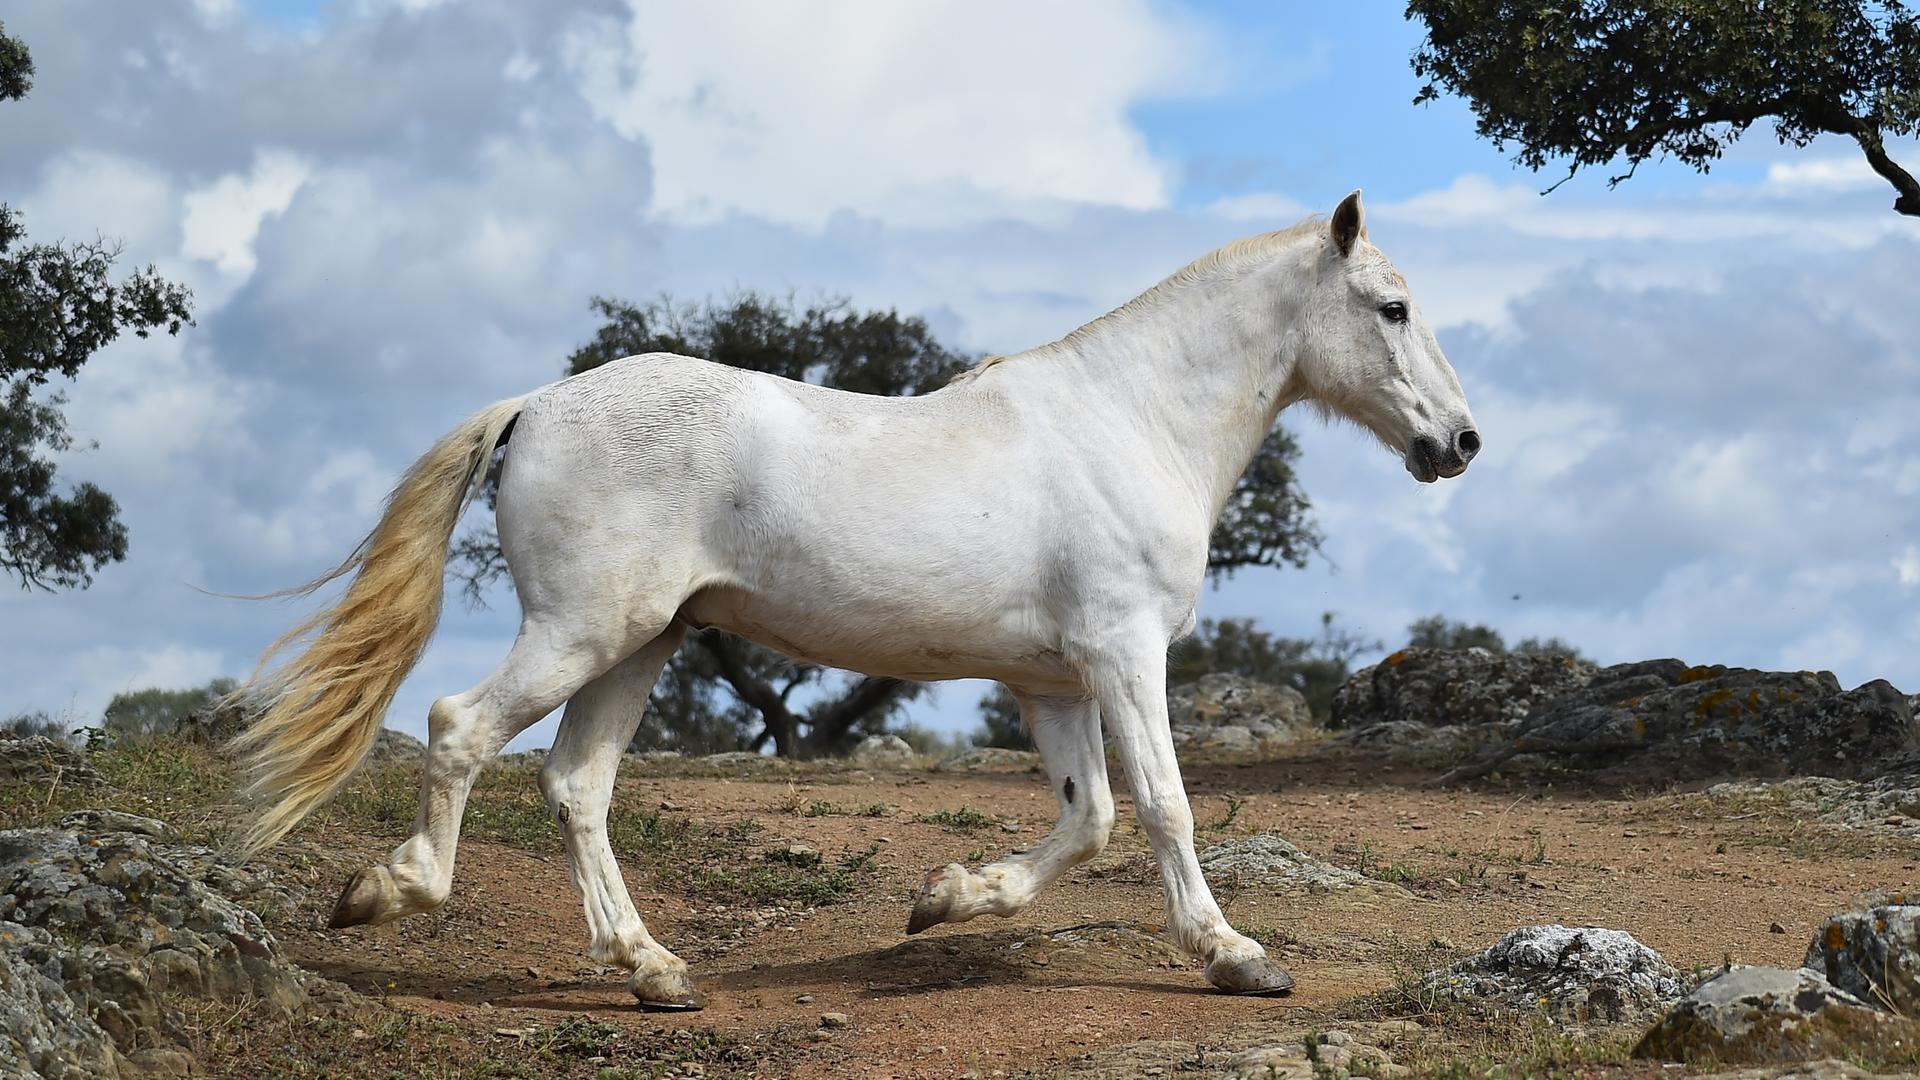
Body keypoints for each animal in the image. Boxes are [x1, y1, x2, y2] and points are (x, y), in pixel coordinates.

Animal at [232, 189, 1474, 1006]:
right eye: (1391, 307)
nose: (1457, 443)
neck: (1131, 419)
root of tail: (536, 404)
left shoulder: (1055, 682)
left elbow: (1089, 820)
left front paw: (946, 898)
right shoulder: (1126, 655)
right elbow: (1165, 808)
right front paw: (1237, 957)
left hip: (640, 648)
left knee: (576, 786)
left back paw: (652, 969)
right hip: (585, 634)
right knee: (458, 730)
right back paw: (388, 892)